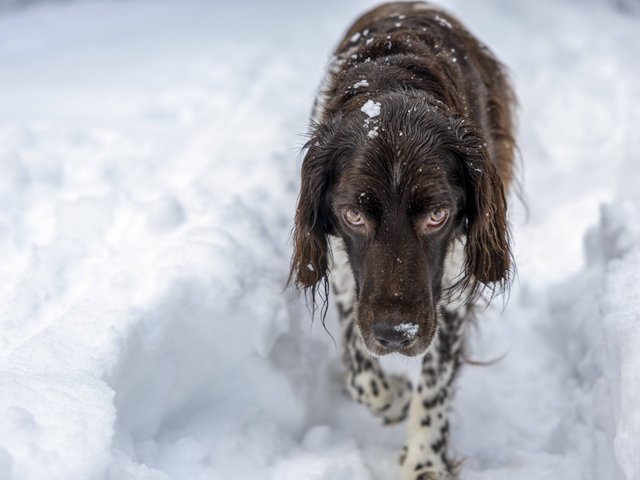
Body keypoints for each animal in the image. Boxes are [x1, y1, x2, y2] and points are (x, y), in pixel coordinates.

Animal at [290, 2, 516, 476]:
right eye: (353, 215)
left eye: (437, 215)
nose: (396, 334)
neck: (390, 90)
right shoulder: (343, 269)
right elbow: (359, 366)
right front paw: (390, 398)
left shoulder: (450, 290)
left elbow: (435, 383)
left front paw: (424, 459)